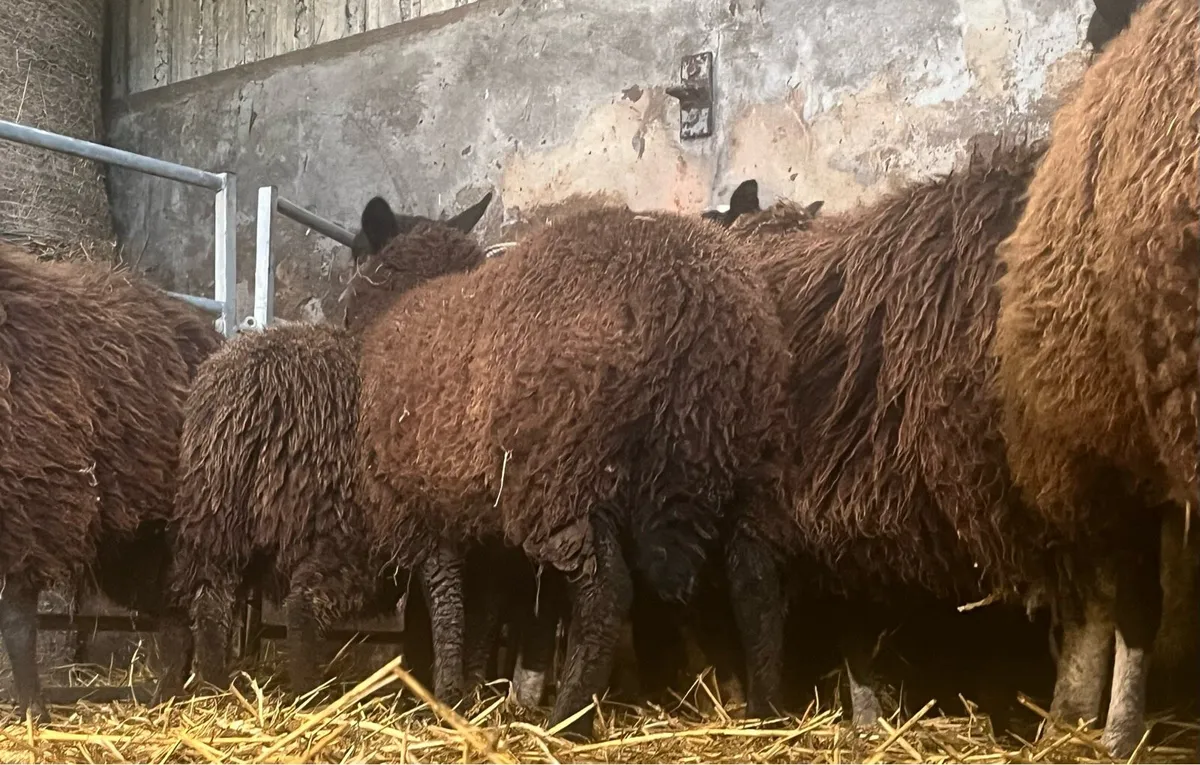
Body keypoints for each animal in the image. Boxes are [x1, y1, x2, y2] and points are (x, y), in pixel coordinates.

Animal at [0, 245, 222, 721]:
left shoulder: (32, 514)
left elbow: (17, 625)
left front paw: (34, 713)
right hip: (127, 541)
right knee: (173, 610)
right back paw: (165, 696)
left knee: (186, 610)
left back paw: (170, 696)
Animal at [165, 193, 493, 698]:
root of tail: (263, 394)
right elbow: (444, 594)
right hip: (344, 530)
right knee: (307, 605)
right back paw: (311, 694)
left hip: (213, 517)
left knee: (209, 601)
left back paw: (212, 687)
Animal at [357, 200, 792, 739]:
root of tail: (697, 302)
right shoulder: (487, 518)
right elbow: (484, 601)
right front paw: (471, 690)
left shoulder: (410, 499)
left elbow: (443, 593)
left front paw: (447, 693)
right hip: (740, 463)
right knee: (755, 583)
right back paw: (767, 714)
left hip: (566, 473)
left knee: (606, 592)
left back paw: (568, 720)